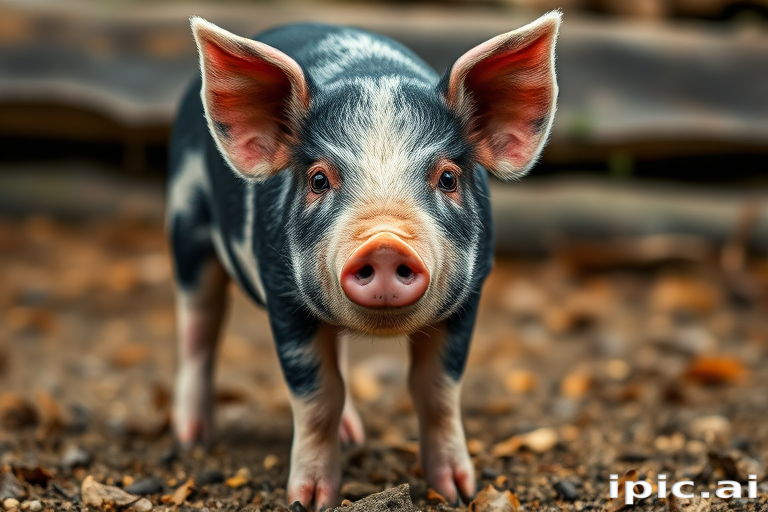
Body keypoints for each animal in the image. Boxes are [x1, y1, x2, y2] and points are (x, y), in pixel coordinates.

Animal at [168, 11, 560, 510]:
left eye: (448, 178)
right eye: (318, 179)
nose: (385, 245)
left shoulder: (471, 294)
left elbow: (437, 389)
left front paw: (458, 491)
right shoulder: (282, 294)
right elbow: (317, 394)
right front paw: (310, 500)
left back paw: (353, 437)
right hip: (186, 225)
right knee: (198, 327)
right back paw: (191, 440)